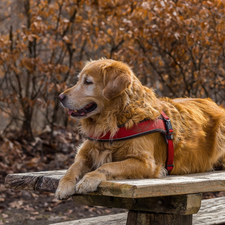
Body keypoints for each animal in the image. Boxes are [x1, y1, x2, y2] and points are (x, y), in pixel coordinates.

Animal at [55, 59, 225, 200]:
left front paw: (89, 179)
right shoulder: (85, 153)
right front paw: (64, 185)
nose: (60, 97)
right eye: (79, 80)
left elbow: (108, 166)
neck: (115, 121)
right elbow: (73, 168)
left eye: (88, 82)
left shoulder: (146, 163)